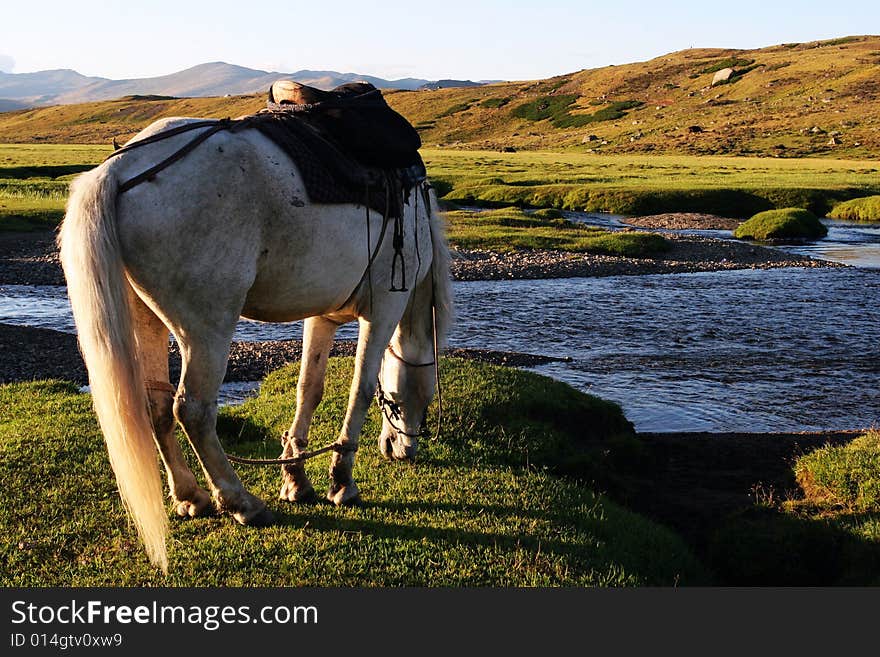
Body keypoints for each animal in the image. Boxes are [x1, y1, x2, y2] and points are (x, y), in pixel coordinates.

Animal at [58, 116, 450, 568]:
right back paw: (240, 502)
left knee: (156, 405)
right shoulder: (384, 307)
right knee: (193, 410)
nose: (403, 449)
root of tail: (120, 170)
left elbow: (309, 389)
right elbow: (361, 391)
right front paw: (341, 482)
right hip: (207, 328)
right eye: (418, 398)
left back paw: (190, 496)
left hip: (146, 320)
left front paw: (296, 477)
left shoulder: (322, 315)